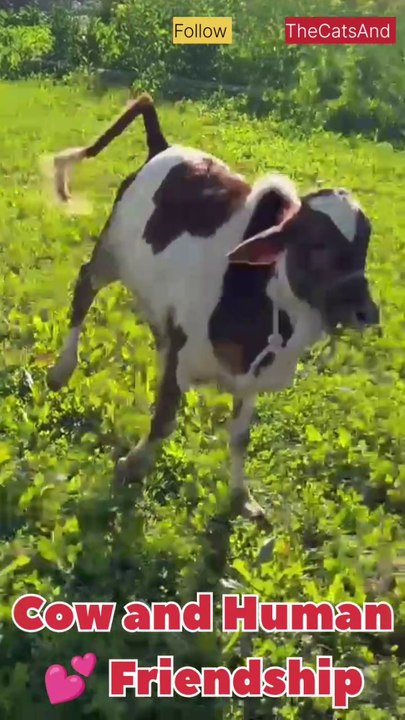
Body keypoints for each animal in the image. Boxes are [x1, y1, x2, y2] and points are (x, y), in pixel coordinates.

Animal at [47, 93, 380, 522]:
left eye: (364, 246)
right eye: (317, 244)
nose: (366, 312)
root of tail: (163, 146)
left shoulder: (251, 379)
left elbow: (239, 438)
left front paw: (242, 495)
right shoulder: (185, 354)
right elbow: (164, 420)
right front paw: (133, 464)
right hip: (112, 251)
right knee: (84, 287)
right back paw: (61, 368)